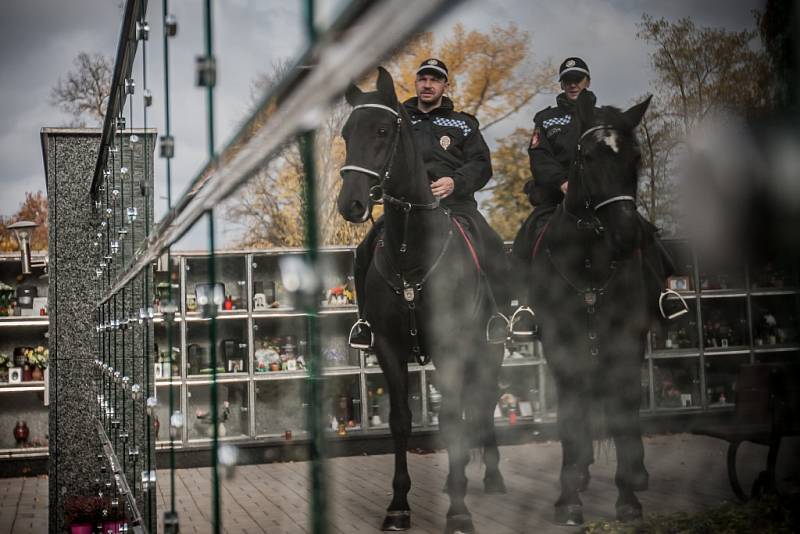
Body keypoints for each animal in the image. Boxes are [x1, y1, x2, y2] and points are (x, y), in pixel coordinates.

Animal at [338, 67, 506, 534]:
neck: (411, 253)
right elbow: (400, 422)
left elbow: (451, 418)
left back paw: (490, 476)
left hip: (490, 348)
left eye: (382, 130)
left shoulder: (452, 347)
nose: (350, 203)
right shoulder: (388, 348)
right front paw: (398, 505)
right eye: (346, 133)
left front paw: (459, 510)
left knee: (484, 401)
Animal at [520, 91, 652, 524]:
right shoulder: (561, 344)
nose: (626, 236)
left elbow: (625, 405)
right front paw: (568, 497)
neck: (591, 258)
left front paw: (628, 494)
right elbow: (571, 411)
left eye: (636, 157)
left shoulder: (627, 340)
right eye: (589, 157)